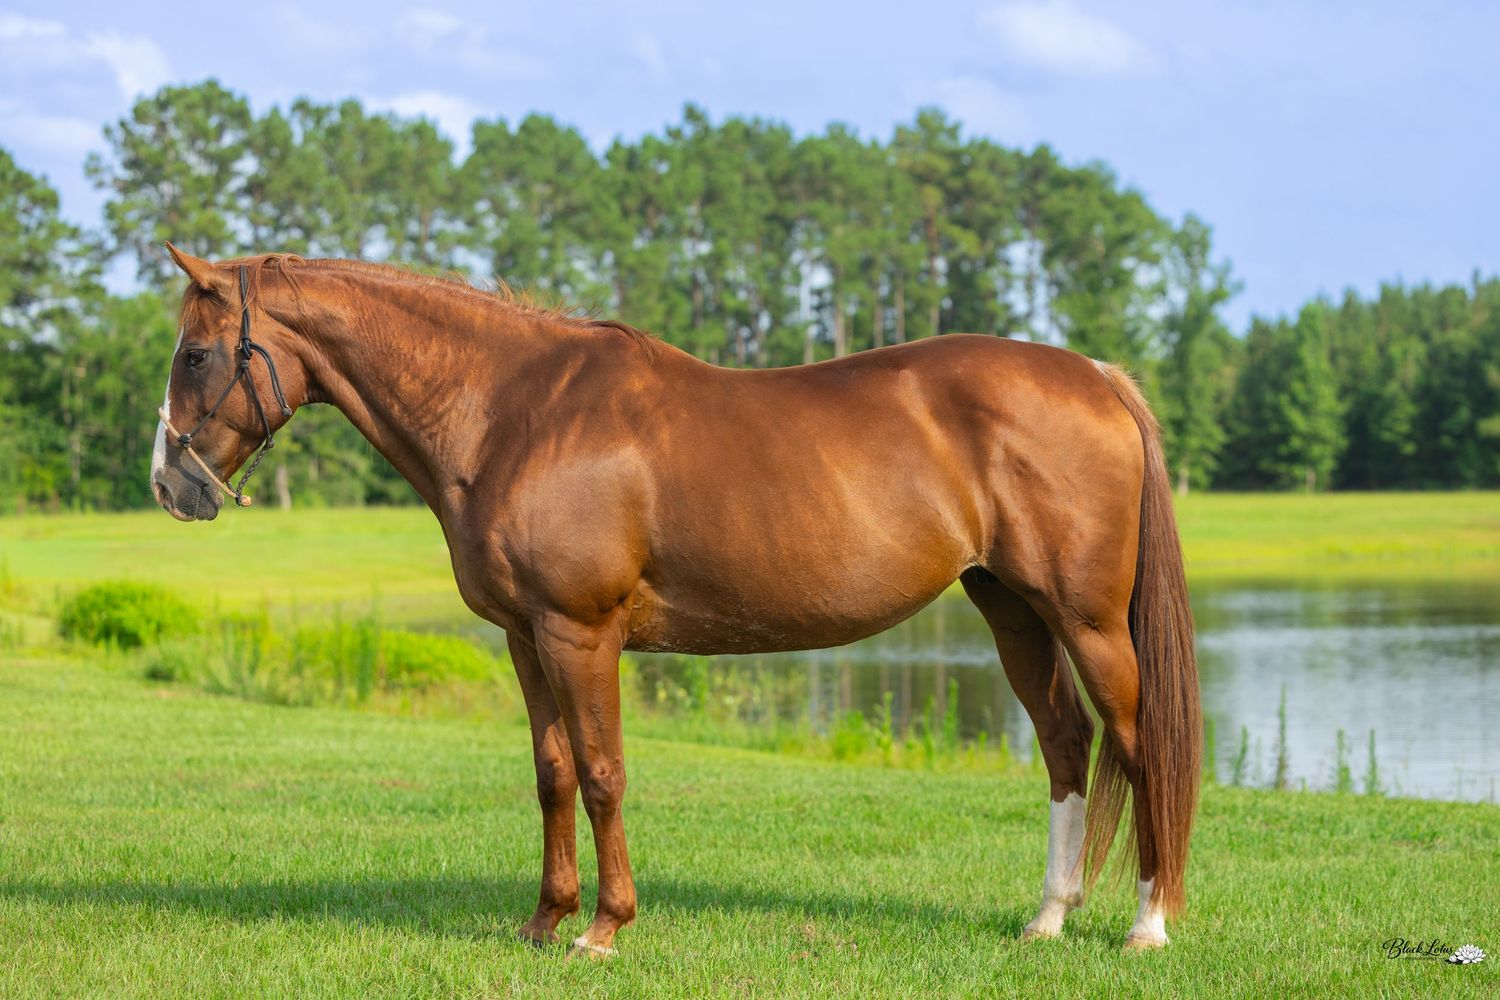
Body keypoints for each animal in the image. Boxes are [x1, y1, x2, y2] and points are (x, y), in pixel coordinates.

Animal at [150, 244, 1201, 955]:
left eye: (196, 355)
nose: (170, 486)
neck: (514, 414)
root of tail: (1096, 376)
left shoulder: (581, 635)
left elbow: (604, 773)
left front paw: (603, 929)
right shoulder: (526, 640)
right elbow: (553, 775)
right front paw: (544, 921)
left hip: (1088, 621)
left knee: (1137, 742)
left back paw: (1147, 923)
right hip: (1010, 608)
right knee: (1065, 744)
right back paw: (1049, 918)